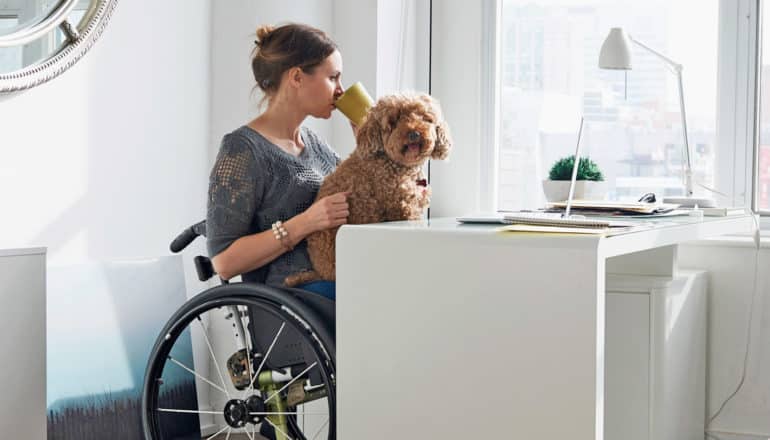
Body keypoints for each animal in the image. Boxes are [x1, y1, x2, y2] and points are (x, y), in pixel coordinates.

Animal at [284, 92, 450, 286]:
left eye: (425, 118)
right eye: (394, 121)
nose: (414, 133)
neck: (395, 164)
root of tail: (320, 272)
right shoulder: (402, 208)